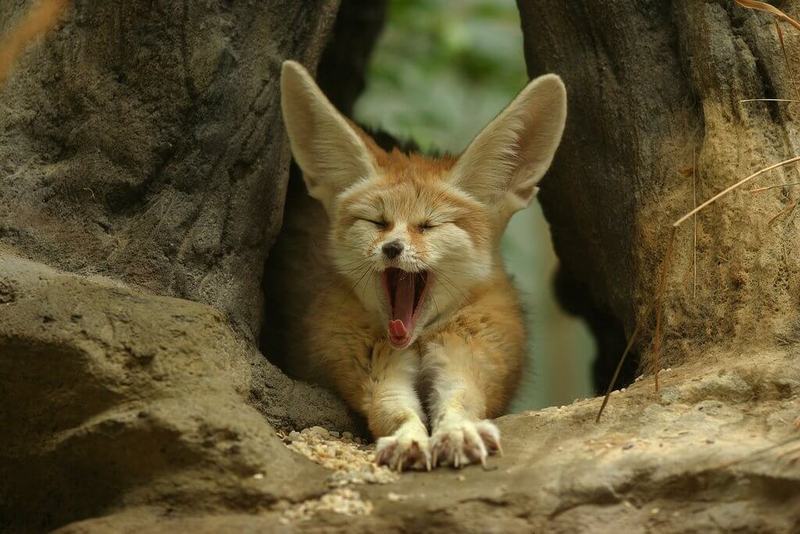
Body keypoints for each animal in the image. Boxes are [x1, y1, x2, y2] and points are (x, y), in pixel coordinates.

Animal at [278, 60, 564, 472]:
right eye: (377, 222)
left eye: (429, 225)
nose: (392, 248)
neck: (419, 340)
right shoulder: (372, 367)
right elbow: (393, 409)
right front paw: (408, 438)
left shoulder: (470, 356)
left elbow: (461, 401)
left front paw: (459, 432)